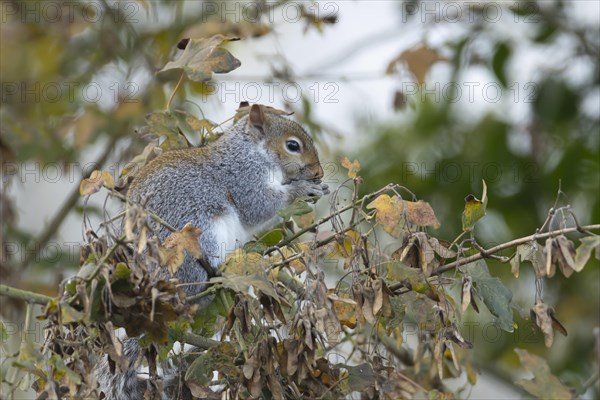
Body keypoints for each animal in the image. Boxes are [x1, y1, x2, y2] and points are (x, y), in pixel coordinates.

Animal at [96, 104, 328, 400]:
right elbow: (259, 205)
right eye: (293, 146)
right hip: (198, 237)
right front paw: (302, 190)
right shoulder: (243, 177)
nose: (318, 173)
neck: (253, 151)